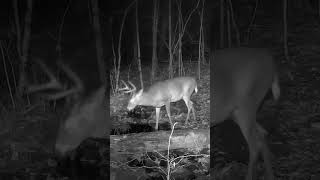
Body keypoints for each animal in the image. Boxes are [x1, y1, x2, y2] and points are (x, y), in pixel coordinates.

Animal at [212, 47, 280, 179]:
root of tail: (272, 63)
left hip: (247, 104)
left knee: (255, 144)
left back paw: (249, 176)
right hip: (237, 112)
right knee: (262, 133)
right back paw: (270, 174)